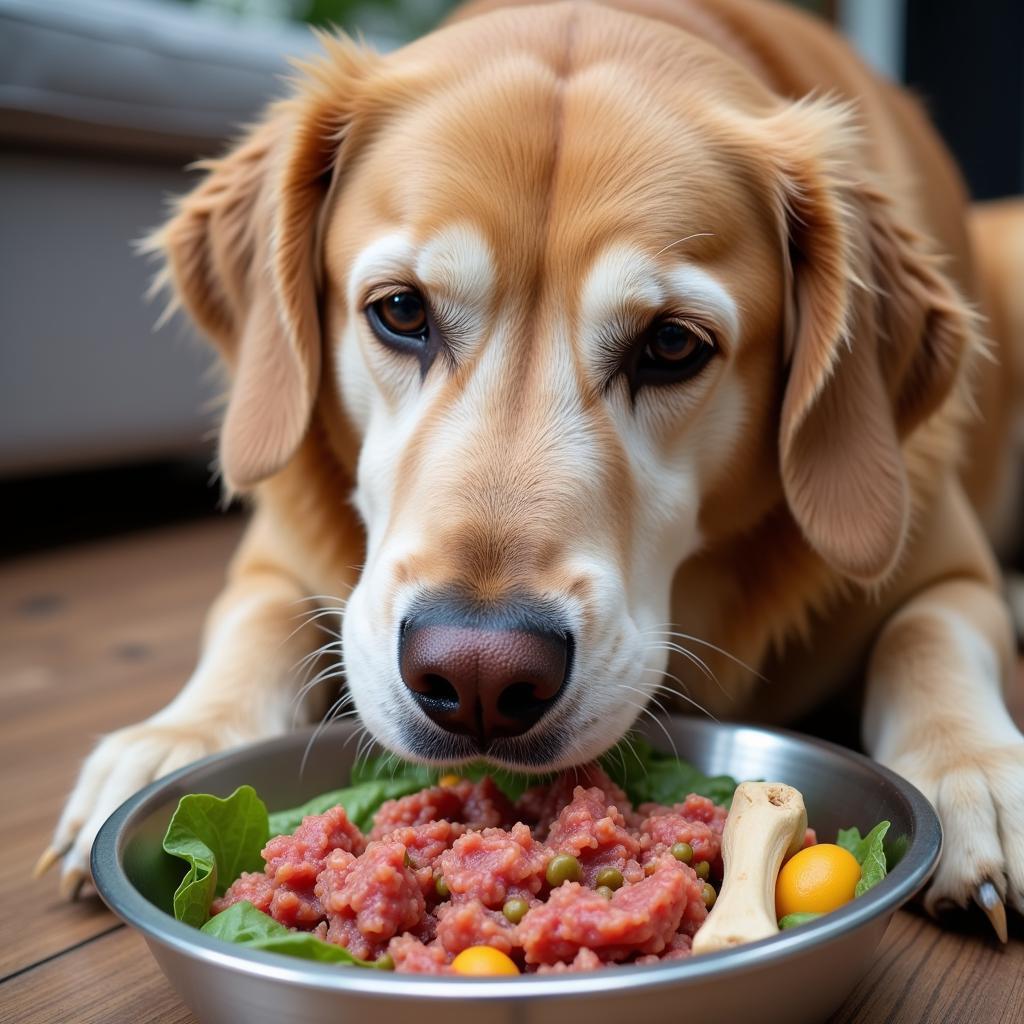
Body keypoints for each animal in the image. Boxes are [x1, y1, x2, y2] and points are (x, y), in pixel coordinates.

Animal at [41, 0, 1024, 929]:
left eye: (672, 344)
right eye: (401, 310)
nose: (478, 677)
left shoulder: (942, 565)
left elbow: (926, 634)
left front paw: (976, 768)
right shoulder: (277, 552)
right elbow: (256, 622)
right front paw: (178, 735)